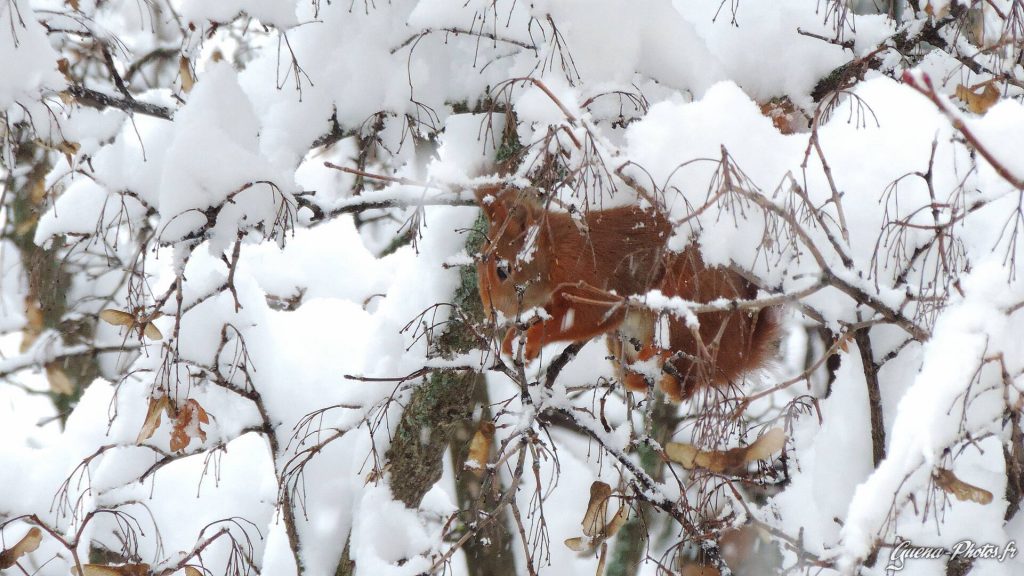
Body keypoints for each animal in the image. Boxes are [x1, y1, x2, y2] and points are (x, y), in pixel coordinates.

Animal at [477, 184, 774, 399]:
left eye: (502, 270)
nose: (491, 313)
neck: (554, 248)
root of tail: (739, 355)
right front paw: (512, 338)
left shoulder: (587, 272)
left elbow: (586, 314)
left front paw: (532, 338)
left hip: (686, 303)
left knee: (684, 380)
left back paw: (656, 355)